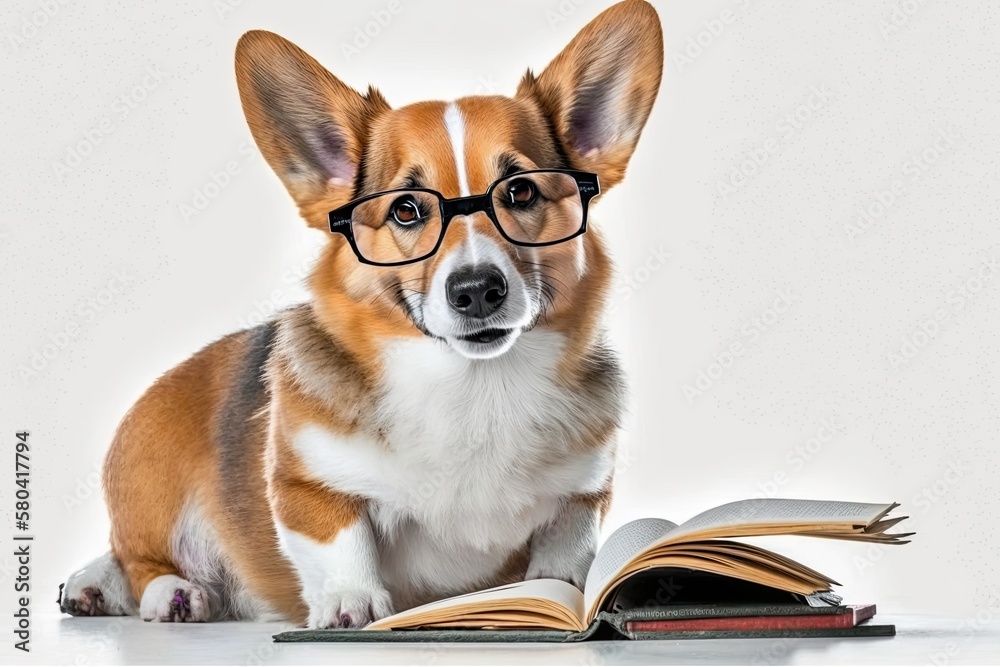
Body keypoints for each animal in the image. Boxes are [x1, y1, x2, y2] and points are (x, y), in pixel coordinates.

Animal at [58, 0, 660, 628]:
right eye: (405, 210)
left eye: (520, 193)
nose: (476, 290)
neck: (473, 386)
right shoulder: (304, 484)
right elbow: (341, 538)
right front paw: (351, 604)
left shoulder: (584, 493)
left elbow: (566, 546)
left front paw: (558, 591)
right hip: (151, 486)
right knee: (134, 556)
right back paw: (164, 591)